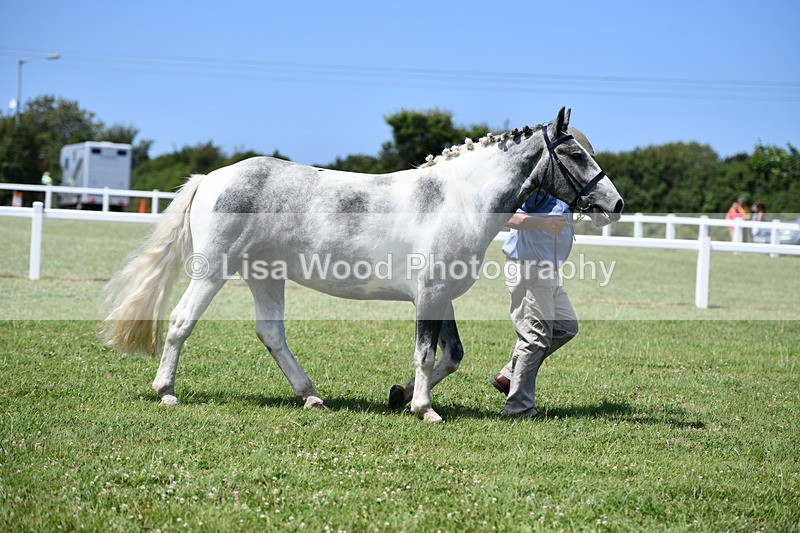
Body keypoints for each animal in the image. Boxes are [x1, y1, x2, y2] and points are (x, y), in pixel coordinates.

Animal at [101, 107, 624, 423]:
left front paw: (400, 396)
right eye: (574, 153)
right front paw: (423, 408)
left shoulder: (443, 296)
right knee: (180, 322)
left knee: (271, 333)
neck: (457, 199)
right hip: (213, 270)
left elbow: (451, 356)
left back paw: (312, 396)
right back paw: (167, 390)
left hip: (265, 275)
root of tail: (212, 177)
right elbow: (426, 354)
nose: (615, 204)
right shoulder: (429, 295)